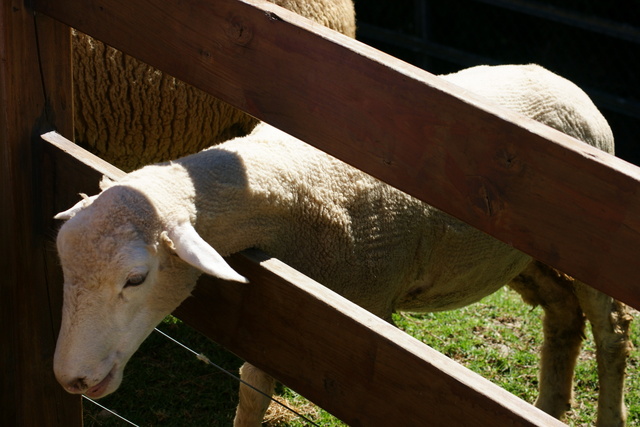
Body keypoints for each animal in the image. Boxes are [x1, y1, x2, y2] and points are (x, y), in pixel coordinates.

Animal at [53, 64, 632, 427]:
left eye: (136, 278)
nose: (70, 378)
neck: (292, 181)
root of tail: (562, 80)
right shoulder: (285, 320)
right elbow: (252, 389)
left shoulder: (364, 324)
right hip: (518, 258)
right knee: (562, 312)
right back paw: (551, 404)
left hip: (594, 253)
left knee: (611, 330)